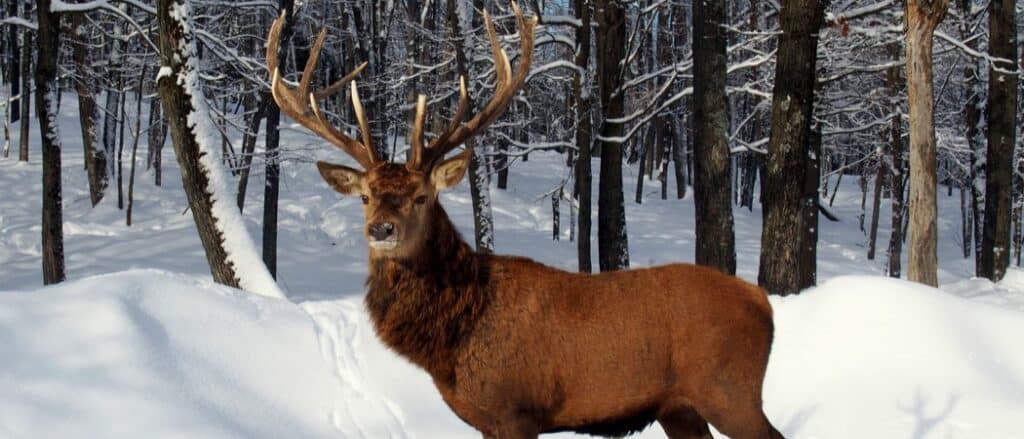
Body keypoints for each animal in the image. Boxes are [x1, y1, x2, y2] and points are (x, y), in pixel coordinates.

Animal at [266, 4, 782, 437]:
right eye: (365, 197)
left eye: (421, 196)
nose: (381, 229)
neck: (456, 337)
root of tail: (764, 303)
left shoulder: (517, 410)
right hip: (680, 408)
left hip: (730, 391)